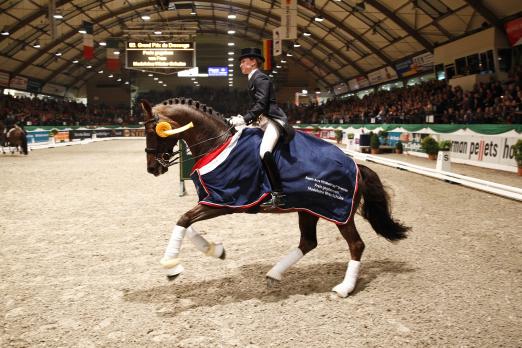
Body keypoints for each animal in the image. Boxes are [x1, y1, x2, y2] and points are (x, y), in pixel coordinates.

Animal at [140, 98, 408, 296]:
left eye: (153, 130)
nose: (152, 168)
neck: (218, 144)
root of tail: (356, 166)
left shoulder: (225, 200)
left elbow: (183, 220)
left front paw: (171, 267)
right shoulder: (213, 199)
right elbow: (188, 223)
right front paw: (216, 250)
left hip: (338, 212)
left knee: (356, 245)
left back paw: (344, 288)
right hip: (308, 210)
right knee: (308, 242)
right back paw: (274, 274)